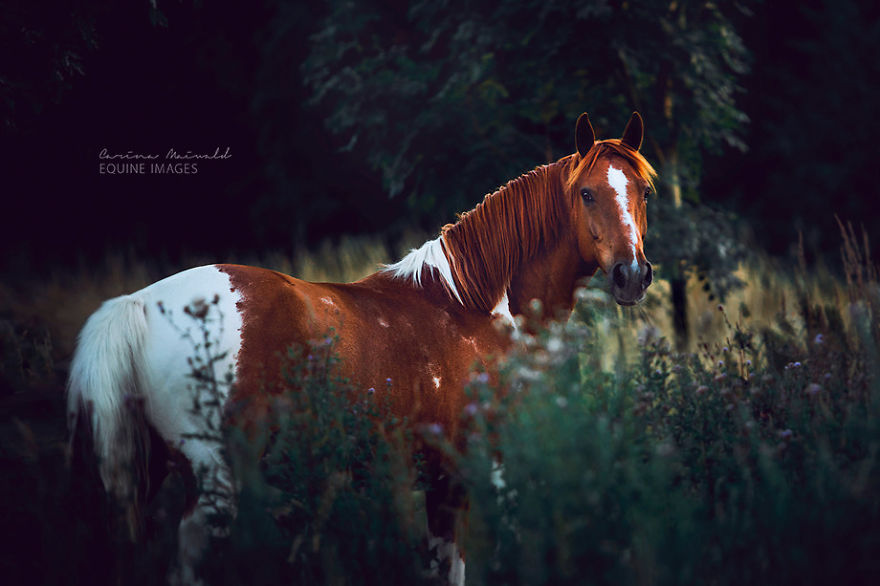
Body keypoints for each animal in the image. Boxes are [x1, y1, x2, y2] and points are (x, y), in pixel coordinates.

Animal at [67, 111, 656, 585]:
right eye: (586, 193)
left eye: (643, 193)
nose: (631, 276)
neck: (474, 306)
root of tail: (139, 304)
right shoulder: (471, 473)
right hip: (214, 482)